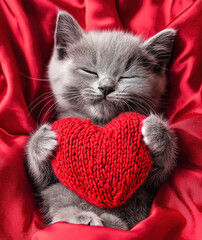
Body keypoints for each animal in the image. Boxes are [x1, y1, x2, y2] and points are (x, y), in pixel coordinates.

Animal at [26, 11, 177, 231]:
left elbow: (159, 173)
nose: (106, 87)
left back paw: (108, 222)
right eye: (89, 71)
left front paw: (157, 131)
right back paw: (84, 218)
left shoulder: (148, 187)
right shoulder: (46, 183)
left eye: (126, 76)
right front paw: (42, 140)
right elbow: (41, 176)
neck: (101, 122)